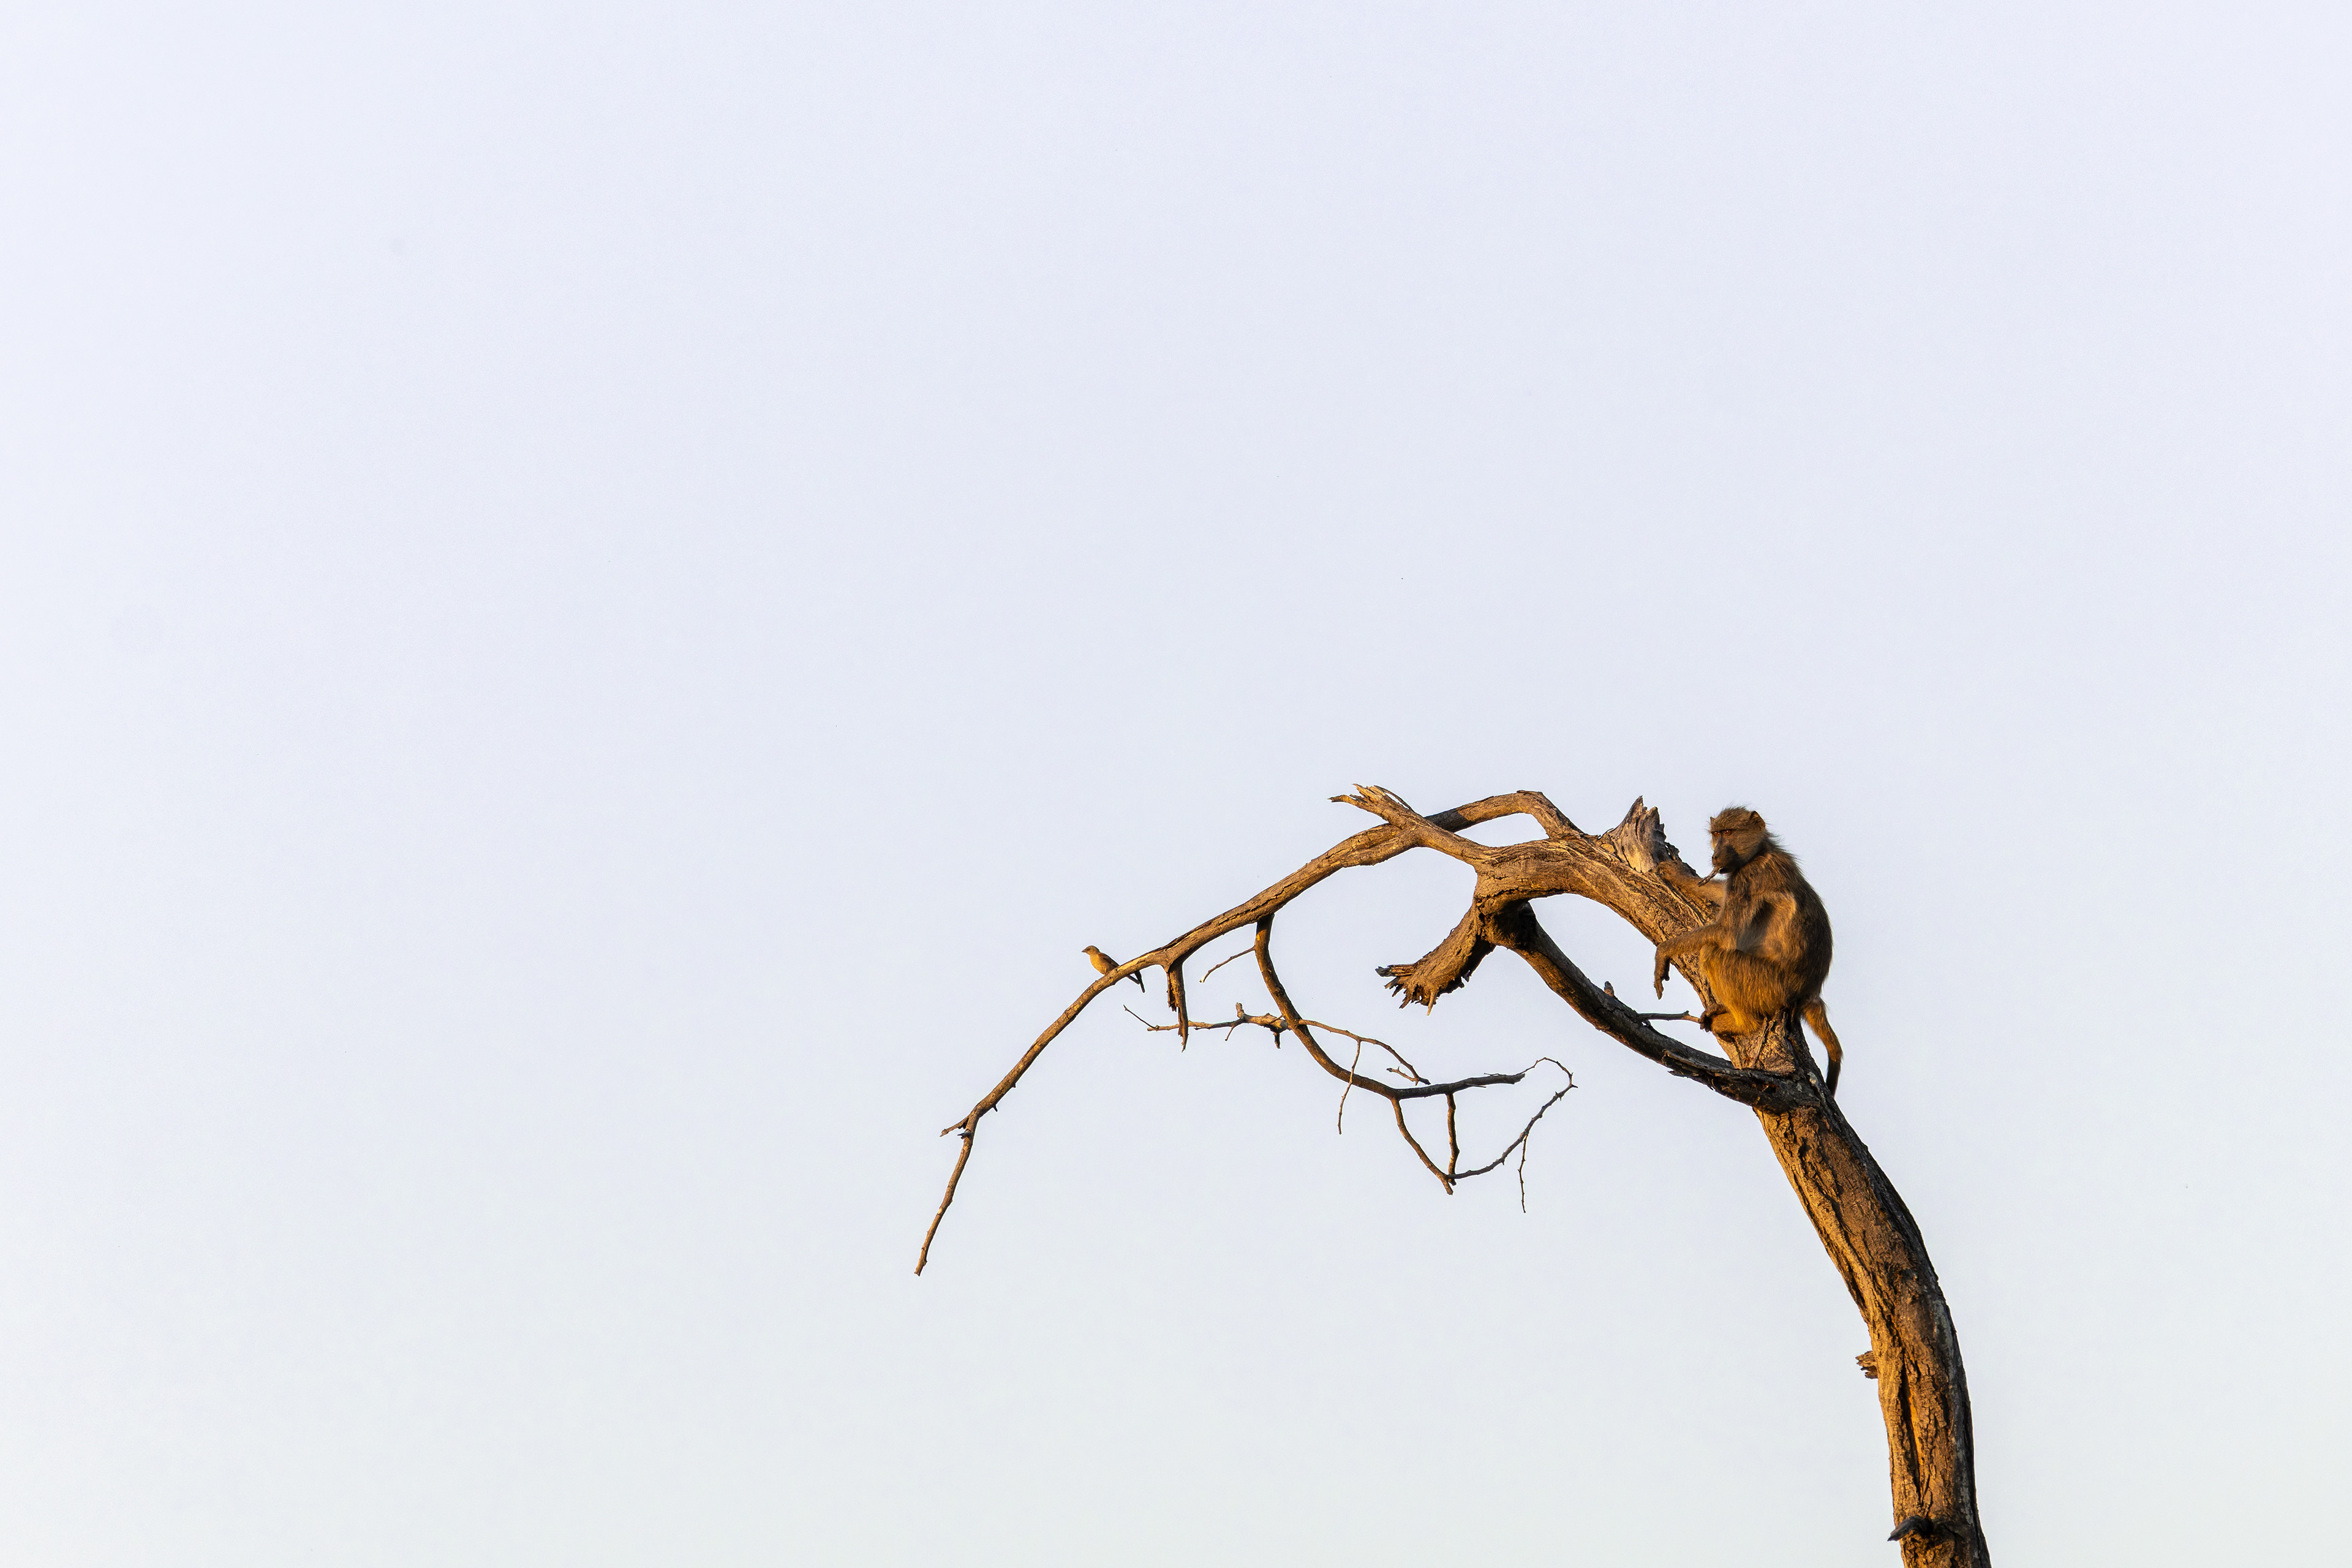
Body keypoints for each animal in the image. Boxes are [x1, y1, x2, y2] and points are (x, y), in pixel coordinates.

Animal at [1650, 806, 1847, 1097]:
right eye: (1716, 834)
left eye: (1729, 832)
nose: (1716, 855)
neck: (1762, 851)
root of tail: (1810, 992)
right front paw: (1680, 875)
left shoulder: (1748, 877)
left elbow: (1726, 932)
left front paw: (1663, 952)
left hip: (1769, 984)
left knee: (1713, 954)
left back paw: (1740, 1023)